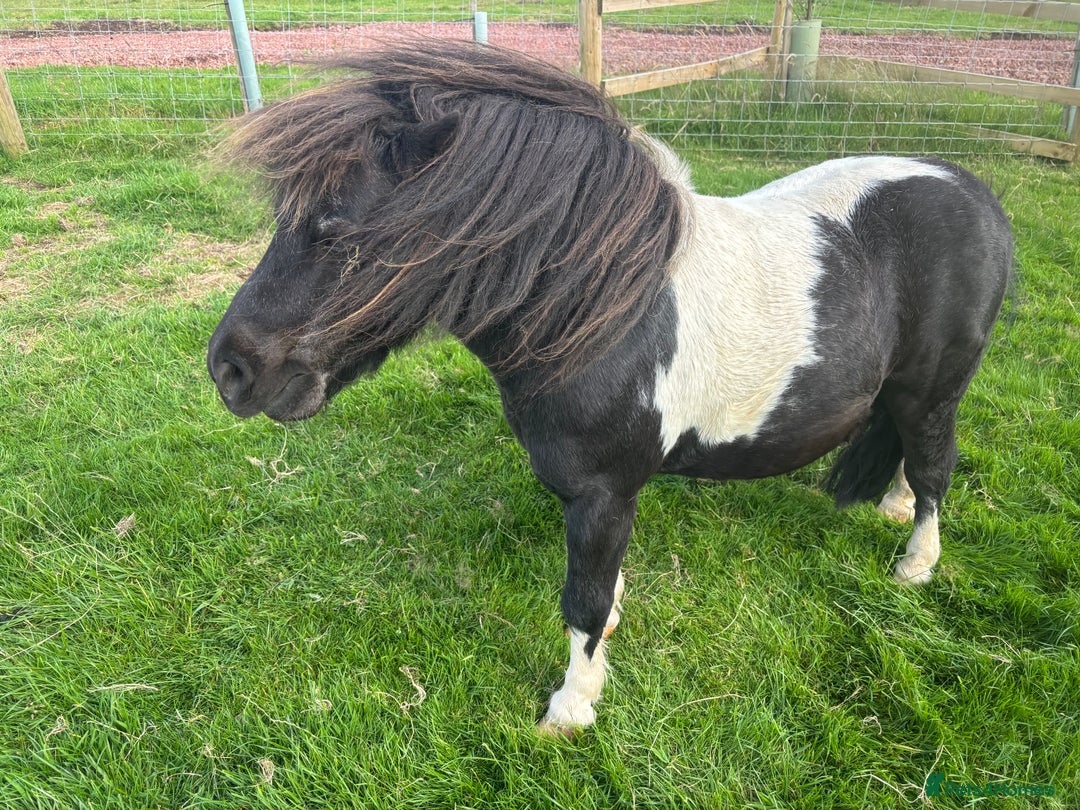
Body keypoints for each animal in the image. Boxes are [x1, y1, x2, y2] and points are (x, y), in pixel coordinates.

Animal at [207, 40, 1013, 731]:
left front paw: (571, 708)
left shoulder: (601, 495)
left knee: (935, 465)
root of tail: (976, 194)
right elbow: (605, 588)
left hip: (933, 392)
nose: (229, 369)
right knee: (910, 456)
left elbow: (583, 603)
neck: (603, 310)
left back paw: (916, 564)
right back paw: (893, 507)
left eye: (335, 229)